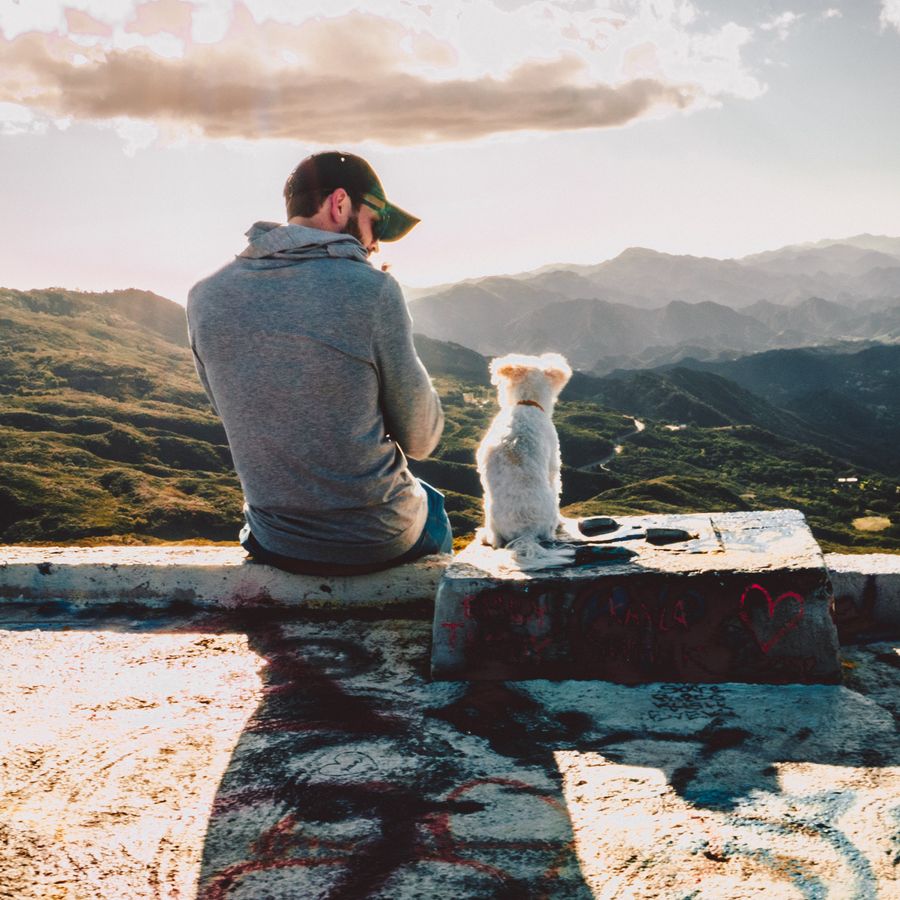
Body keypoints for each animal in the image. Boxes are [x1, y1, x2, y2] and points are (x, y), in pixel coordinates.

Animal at [478, 352, 576, 568]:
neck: (526, 403)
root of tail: (526, 534)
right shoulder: (553, 465)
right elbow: (557, 486)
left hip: (489, 509)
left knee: (495, 540)